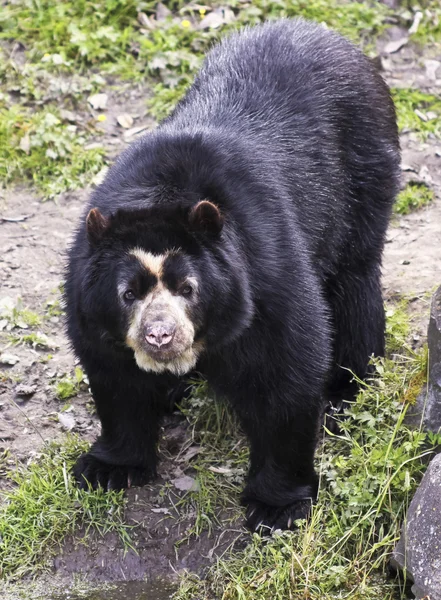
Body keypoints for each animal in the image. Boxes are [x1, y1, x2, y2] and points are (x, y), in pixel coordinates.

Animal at [65, 18, 398, 532]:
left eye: (188, 288)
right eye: (127, 294)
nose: (160, 336)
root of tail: (328, 34)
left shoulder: (265, 274)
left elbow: (286, 371)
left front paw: (276, 507)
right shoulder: (88, 299)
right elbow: (114, 376)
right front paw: (106, 469)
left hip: (362, 178)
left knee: (354, 286)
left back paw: (347, 393)